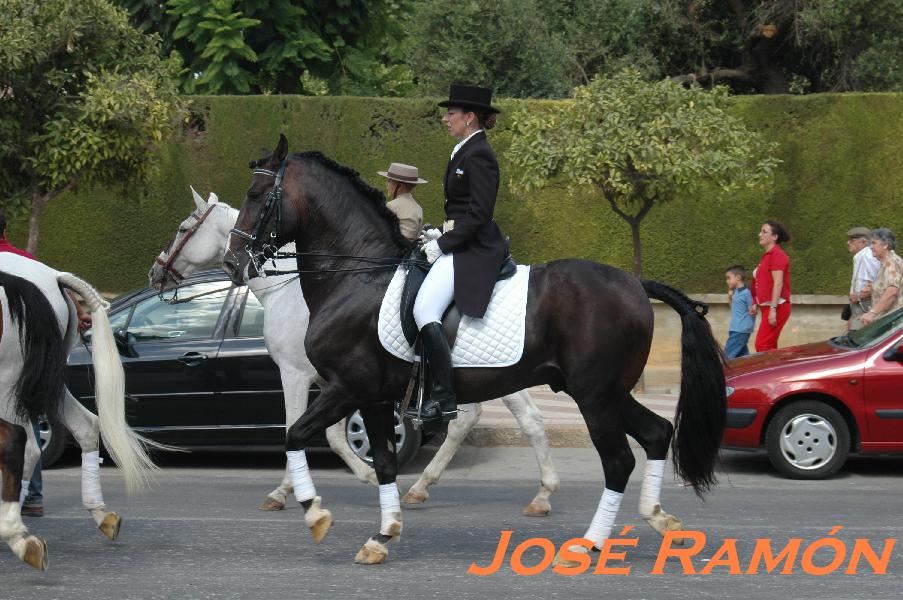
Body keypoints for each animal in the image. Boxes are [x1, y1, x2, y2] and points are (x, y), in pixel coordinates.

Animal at [148, 189, 556, 516]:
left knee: (476, 421)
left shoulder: (298, 375)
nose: (155, 272)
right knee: (518, 420)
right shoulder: (335, 383)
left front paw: (284, 491)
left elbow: (295, 427)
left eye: (183, 229)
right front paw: (366, 475)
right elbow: (328, 435)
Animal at [224, 135, 728, 564]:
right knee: (657, 433)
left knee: (619, 460)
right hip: (605, 392)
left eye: (255, 195)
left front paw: (315, 512)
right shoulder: (373, 395)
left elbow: (295, 434)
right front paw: (382, 535)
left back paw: (588, 545)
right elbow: (383, 463)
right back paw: (658, 519)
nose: (232, 263)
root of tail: (635, 284)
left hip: (594, 397)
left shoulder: (347, 386)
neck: (359, 279)